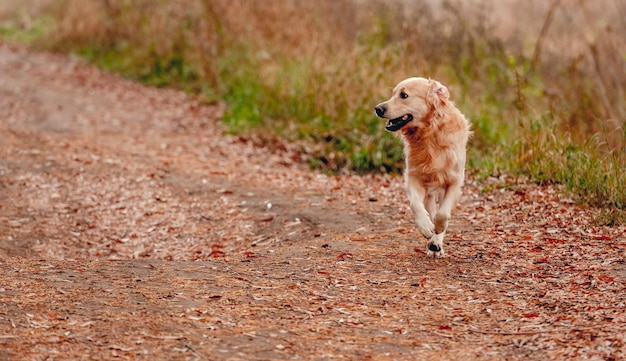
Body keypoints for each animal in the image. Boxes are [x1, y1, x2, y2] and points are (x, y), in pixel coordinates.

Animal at [376, 76, 468, 256]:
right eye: (393, 94)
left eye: (404, 95)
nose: (378, 109)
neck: (428, 135)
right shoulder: (414, 176)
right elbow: (415, 205)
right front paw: (426, 228)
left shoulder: (454, 180)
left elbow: (443, 214)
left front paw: (437, 232)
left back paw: (436, 243)